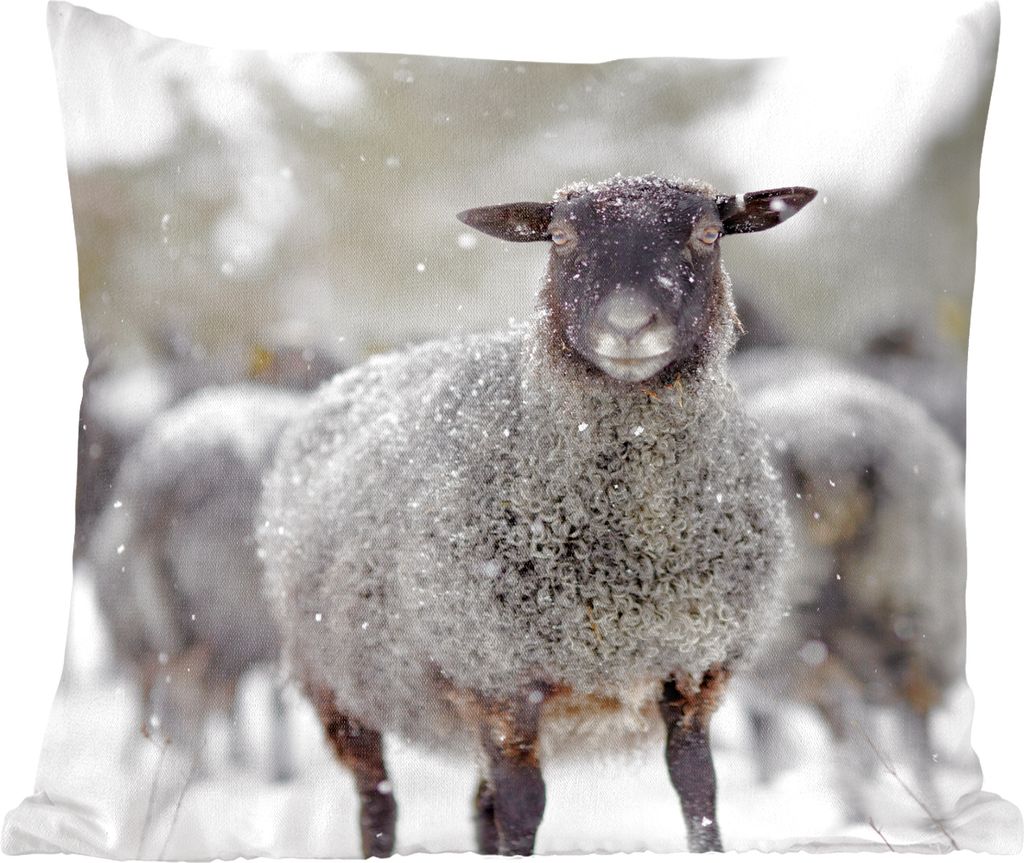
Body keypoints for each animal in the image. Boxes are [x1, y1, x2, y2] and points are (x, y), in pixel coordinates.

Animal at [260, 174, 816, 855]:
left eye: (708, 234)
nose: (628, 326)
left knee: (480, 806)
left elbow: (697, 791)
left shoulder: (691, 669)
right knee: (378, 803)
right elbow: (525, 809)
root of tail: (353, 376)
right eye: (560, 236)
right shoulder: (500, 680)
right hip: (340, 687)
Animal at [731, 347, 966, 818]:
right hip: (920, 606)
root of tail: (831, 443)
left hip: (794, 626)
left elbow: (760, 729)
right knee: (911, 713)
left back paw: (853, 811)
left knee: (840, 710)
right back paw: (931, 814)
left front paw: (766, 785)